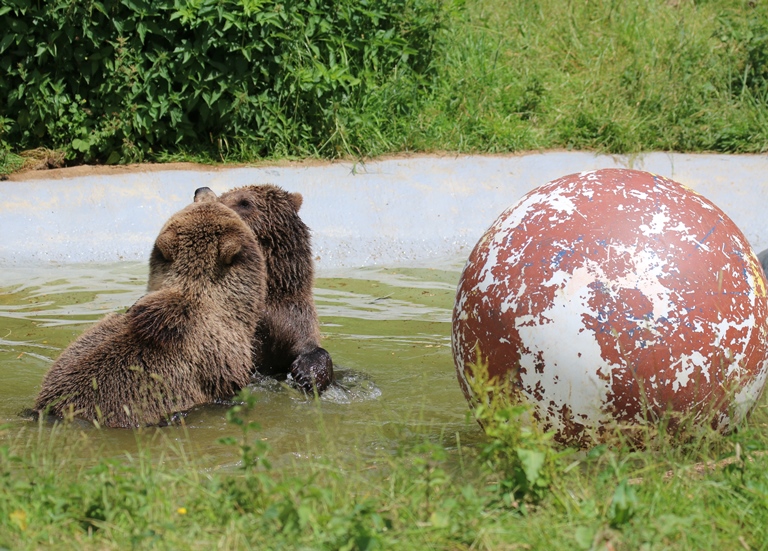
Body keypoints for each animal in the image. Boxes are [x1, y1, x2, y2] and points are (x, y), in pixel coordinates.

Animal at [149, 184, 334, 395]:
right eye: (224, 195)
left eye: (245, 202)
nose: (201, 190)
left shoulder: (291, 316)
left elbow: (309, 347)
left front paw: (307, 375)